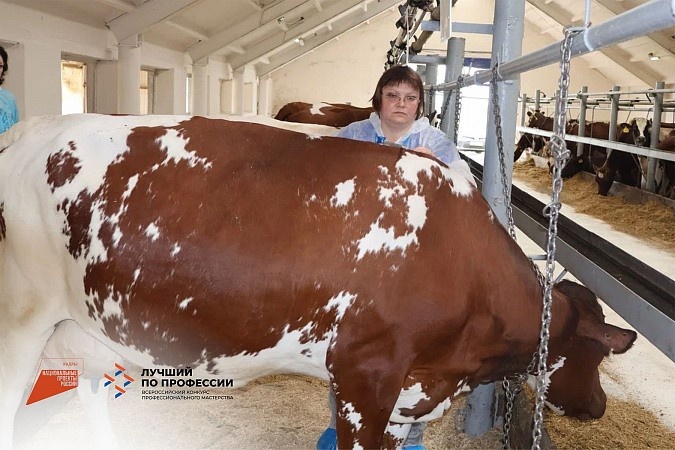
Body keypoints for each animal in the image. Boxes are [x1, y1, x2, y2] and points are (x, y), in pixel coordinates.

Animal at [0, 114, 636, 449]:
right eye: (599, 355)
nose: (601, 405)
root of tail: (29, 128)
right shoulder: (365, 375)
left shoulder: (406, 395)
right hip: (21, 323)